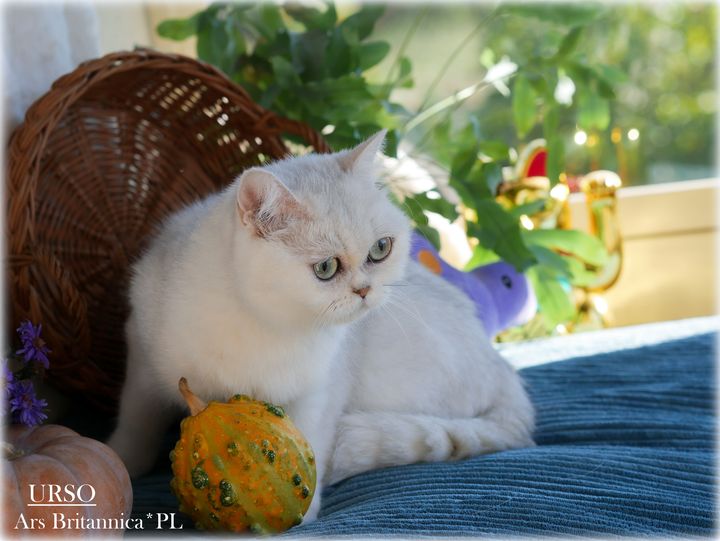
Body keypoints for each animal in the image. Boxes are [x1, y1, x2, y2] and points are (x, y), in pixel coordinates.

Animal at [107, 130, 535, 522]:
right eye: (326, 268)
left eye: (381, 249)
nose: (365, 290)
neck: (266, 322)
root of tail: (504, 370)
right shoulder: (142, 361)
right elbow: (136, 423)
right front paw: (121, 461)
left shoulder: (320, 390)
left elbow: (309, 443)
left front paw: (304, 513)